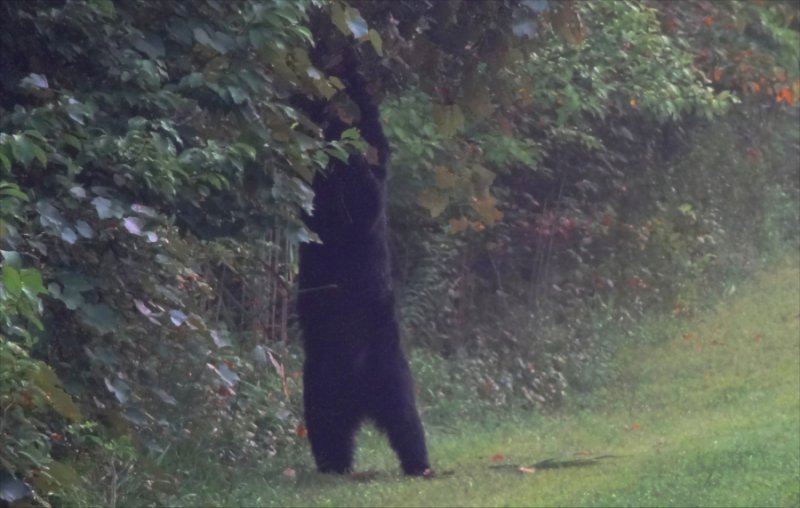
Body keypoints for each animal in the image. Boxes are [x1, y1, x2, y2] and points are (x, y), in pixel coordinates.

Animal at [293, 47, 430, 477]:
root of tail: (360, 392)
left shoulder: (361, 201)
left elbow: (361, 188)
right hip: (331, 382)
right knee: (347, 428)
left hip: (381, 371)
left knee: (397, 422)